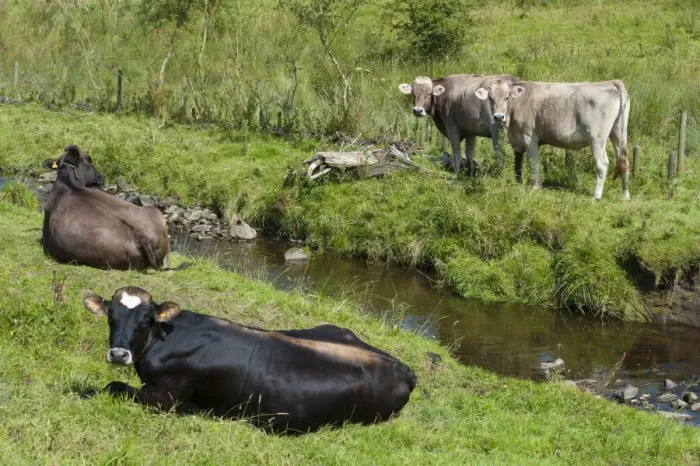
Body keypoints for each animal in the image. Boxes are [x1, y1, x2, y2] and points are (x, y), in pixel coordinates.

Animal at [83, 286, 417, 433]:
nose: (118, 354)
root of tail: (404, 368)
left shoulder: (164, 397)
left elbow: (113, 386)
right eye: (111, 317)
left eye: (147, 320)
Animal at [473, 79, 631, 200]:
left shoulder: (529, 138)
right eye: (491, 98)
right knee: (624, 163)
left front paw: (535, 188)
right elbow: (517, 164)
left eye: (507, 97)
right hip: (619, 134)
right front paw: (518, 184)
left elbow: (534, 164)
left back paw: (596, 196)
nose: (498, 116)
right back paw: (625, 196)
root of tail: (611, 82)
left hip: (596, 138)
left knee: (602, 164)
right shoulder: (517, 141)